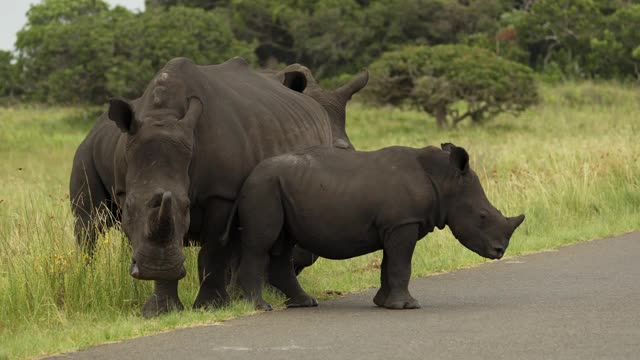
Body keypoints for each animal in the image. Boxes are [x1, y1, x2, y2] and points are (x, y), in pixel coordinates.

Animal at [69, 54, 370, 316]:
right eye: (128, 207)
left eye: (187, 206)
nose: (155, 268)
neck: (163, 115)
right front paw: (161, 310)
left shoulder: (222, 193)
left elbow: (214, 249)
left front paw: (212, 306)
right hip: (86, 150)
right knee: (89, 226)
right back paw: (87, 282)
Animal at [230, 143, 524, 310]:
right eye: (483, 216)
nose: (500, 251)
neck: (444, 180)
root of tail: (251, 173)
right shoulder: (403, 223)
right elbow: (401, 264)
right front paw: (407, 306)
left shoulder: (395, 225)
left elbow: (389, 264)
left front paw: (384, 304)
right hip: (263, 187)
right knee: (261, 244)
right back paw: (261, 307)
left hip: (276, 186)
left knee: (284, 244)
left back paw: (304, 303)